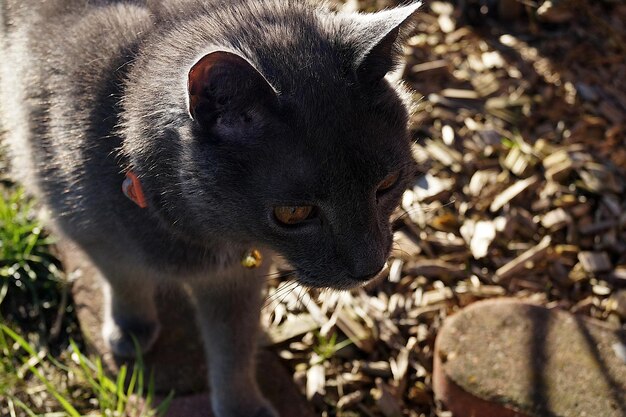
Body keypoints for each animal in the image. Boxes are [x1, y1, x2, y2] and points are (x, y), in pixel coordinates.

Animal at [1, 0, 420, 416]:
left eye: (388, 183)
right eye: (294, 213)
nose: (370, 267)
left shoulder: (235, 279)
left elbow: (232, 347)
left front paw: (242, 407)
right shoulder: (87, 227)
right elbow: (123, 275)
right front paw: (131, 330)